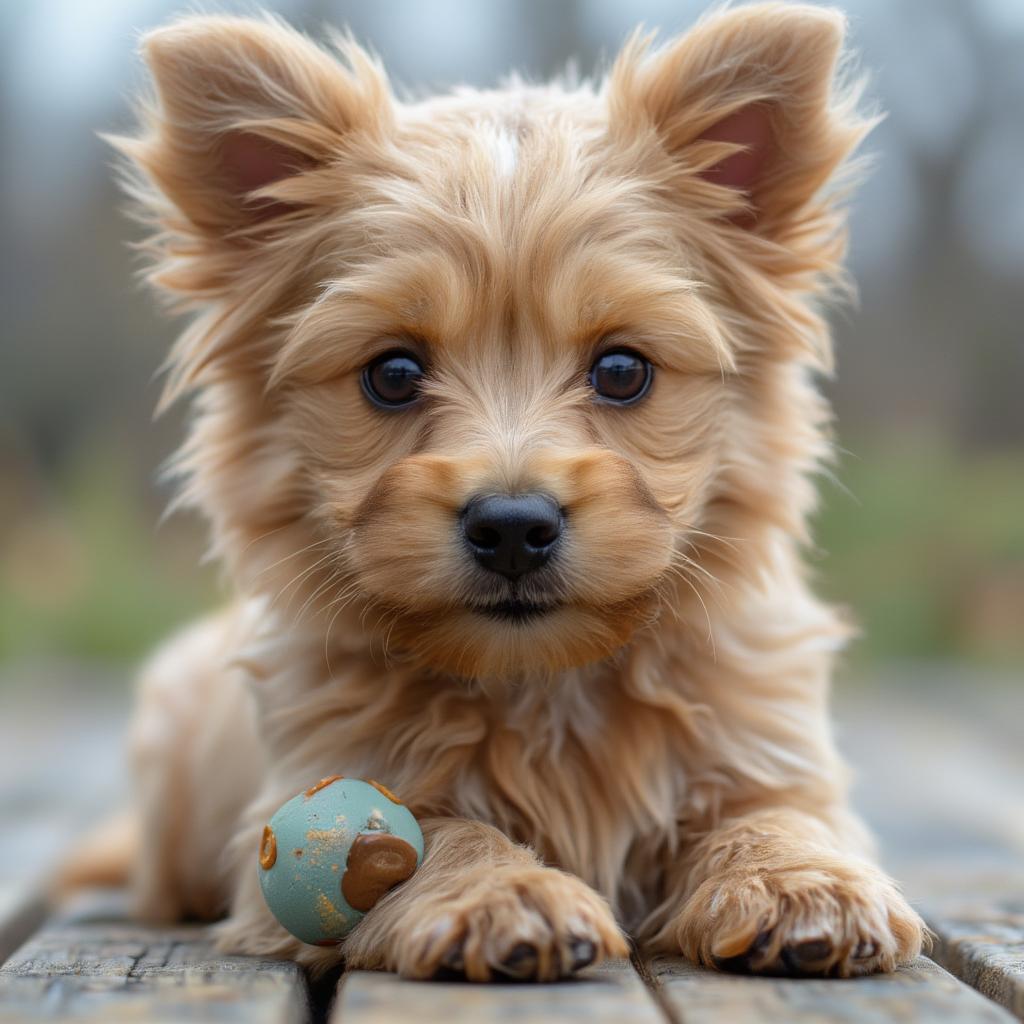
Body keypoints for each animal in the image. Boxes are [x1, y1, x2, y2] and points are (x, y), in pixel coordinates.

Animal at [97, 4, 929, 978]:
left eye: (621, 371)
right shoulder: (326, 762)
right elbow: (430, 835)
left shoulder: (765, 744)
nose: (511, 527)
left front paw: (800, 882)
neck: (541, 684)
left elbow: (773, 809)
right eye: (391, 374)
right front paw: (501, 893)